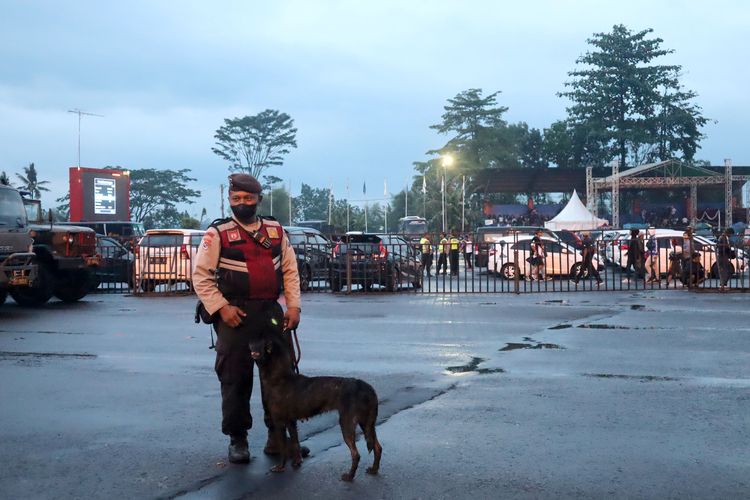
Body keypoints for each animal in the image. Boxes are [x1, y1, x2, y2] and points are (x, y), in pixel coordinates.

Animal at [251, 334, 384, 482]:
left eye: (259, 343)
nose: (249, 343)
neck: (279, 377)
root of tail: (366, 387)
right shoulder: (291, 422)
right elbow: (295, 443)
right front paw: (297, 462)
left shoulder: (279, 422)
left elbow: (283, 449)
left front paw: (280, 467)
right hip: (367, 422)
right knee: (377, 447)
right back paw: (374, 469)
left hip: (347, 423)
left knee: (356, 454)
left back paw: (349, 476)